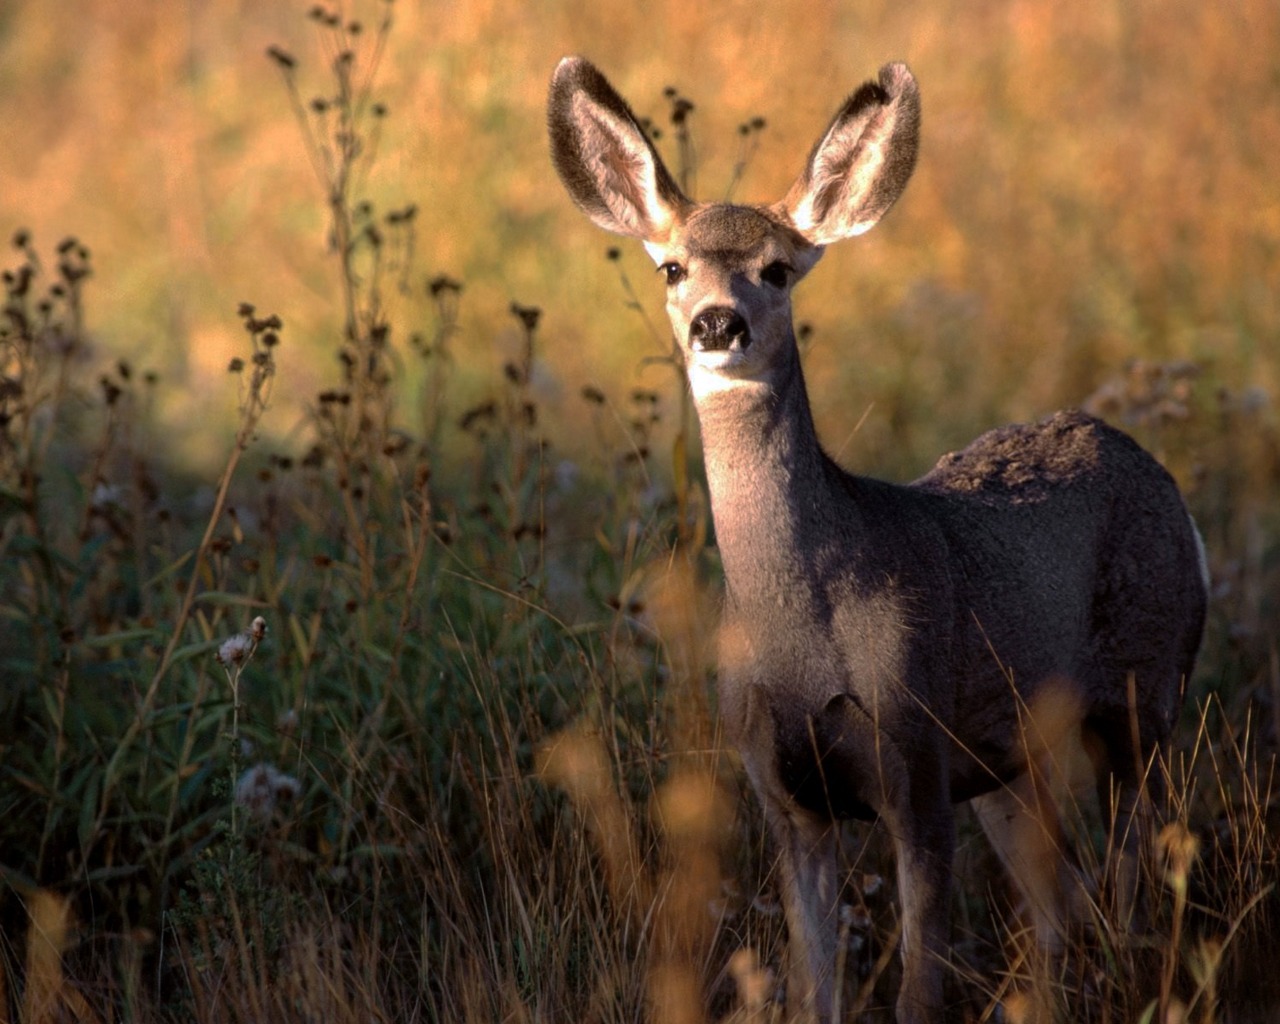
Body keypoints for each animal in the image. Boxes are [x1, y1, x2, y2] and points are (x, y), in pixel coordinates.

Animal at [545, 57, 1203, 1024]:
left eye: (778, 270)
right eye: (672, 267)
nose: (717, 323)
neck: (805, 640)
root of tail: (1159, 474)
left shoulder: (916, 760)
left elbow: (919, 993)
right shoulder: (787, 800)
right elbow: (813, 991)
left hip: (1143, 695)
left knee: (1143, 897)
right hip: (1012, 764)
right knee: (1066, 909)